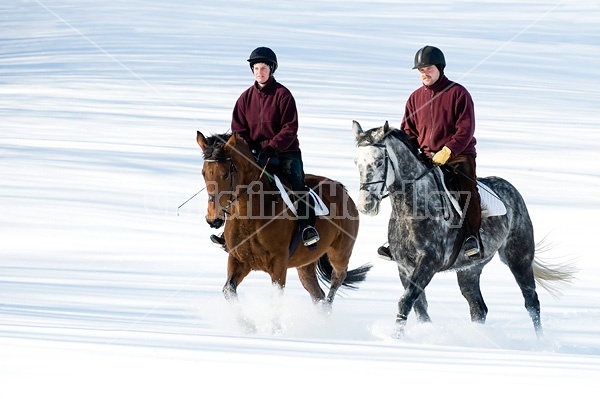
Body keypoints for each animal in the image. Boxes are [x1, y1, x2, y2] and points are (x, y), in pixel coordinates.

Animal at [197, 131, 370, 332]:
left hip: (340, 253)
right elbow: (229, 291)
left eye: (225, 174)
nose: (213, 219)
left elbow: (276, 297)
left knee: (337, 280)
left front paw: (275, 332)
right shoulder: (238, 259)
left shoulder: (279, 262)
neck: (251, 215)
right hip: (305, 266)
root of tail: (343, 190)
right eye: (203, 173)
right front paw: (249, 327)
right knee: (317, 294)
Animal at [354, 121, 576, 338]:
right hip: (469, 270)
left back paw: (540, 342)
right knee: (478, 308)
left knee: (531, 302)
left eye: (379, 162)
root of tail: (512, 190)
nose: (365, 205)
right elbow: (419, 307)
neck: (412, 209)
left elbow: (406, 301)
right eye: (357, 163)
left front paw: (396, 339)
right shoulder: (404, 267)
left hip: (518, 258)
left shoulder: (428, 263)